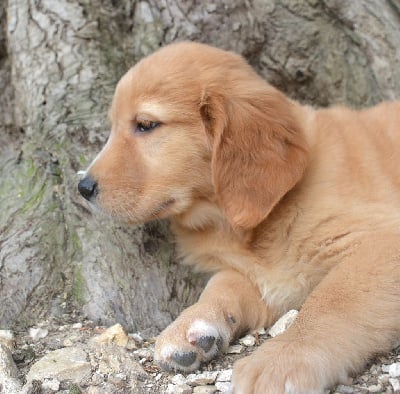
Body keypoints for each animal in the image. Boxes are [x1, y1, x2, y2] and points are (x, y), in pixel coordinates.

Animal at [78, 41, 400, 392]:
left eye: (146, 125)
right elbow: (222, 284)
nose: (83, 186)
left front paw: (283, 358)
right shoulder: (264, 277)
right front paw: (190, 326)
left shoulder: (382, 242)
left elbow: (333, 300)